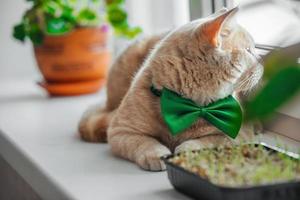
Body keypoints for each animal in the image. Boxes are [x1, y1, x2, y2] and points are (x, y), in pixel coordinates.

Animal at [79, 7, 262, 170]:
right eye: (248, 50)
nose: (262, 64)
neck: (188, 107)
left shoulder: (239, 134)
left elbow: (206, 141)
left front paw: (186, 151)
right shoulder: (121, 131)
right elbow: (145, 142)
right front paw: (156, 154)